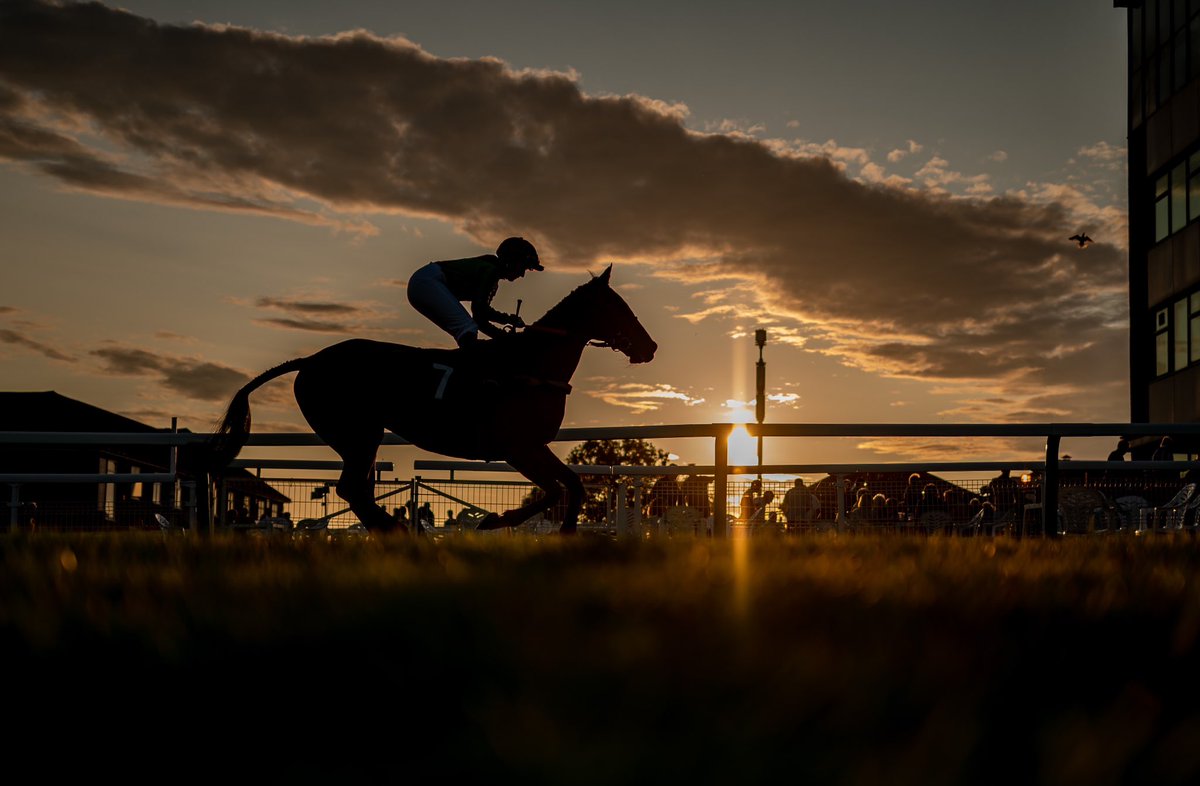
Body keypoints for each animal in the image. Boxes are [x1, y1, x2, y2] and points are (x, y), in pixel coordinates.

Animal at [207, 266, 657, 535]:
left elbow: (571, 484)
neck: (531, 365)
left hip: (360, 436)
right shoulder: (518, 447)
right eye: (618, 307)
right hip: (358, 432)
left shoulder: (532, 447)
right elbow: (555, 489)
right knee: (352, 488)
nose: (650, 347)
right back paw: (402, 531)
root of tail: (311, 361)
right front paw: (497, 520)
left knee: (357, 490)